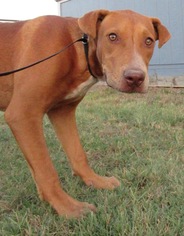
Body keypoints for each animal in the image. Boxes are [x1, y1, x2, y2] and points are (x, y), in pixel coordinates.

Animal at [0, 10, 170, 218]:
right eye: (112, 36)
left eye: (148, 41)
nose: (135, 78)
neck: (78, 48)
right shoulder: (23, 113)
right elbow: (46, 170)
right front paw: (67, 207)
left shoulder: (62, 112)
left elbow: (77, 154)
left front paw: (94, 181)